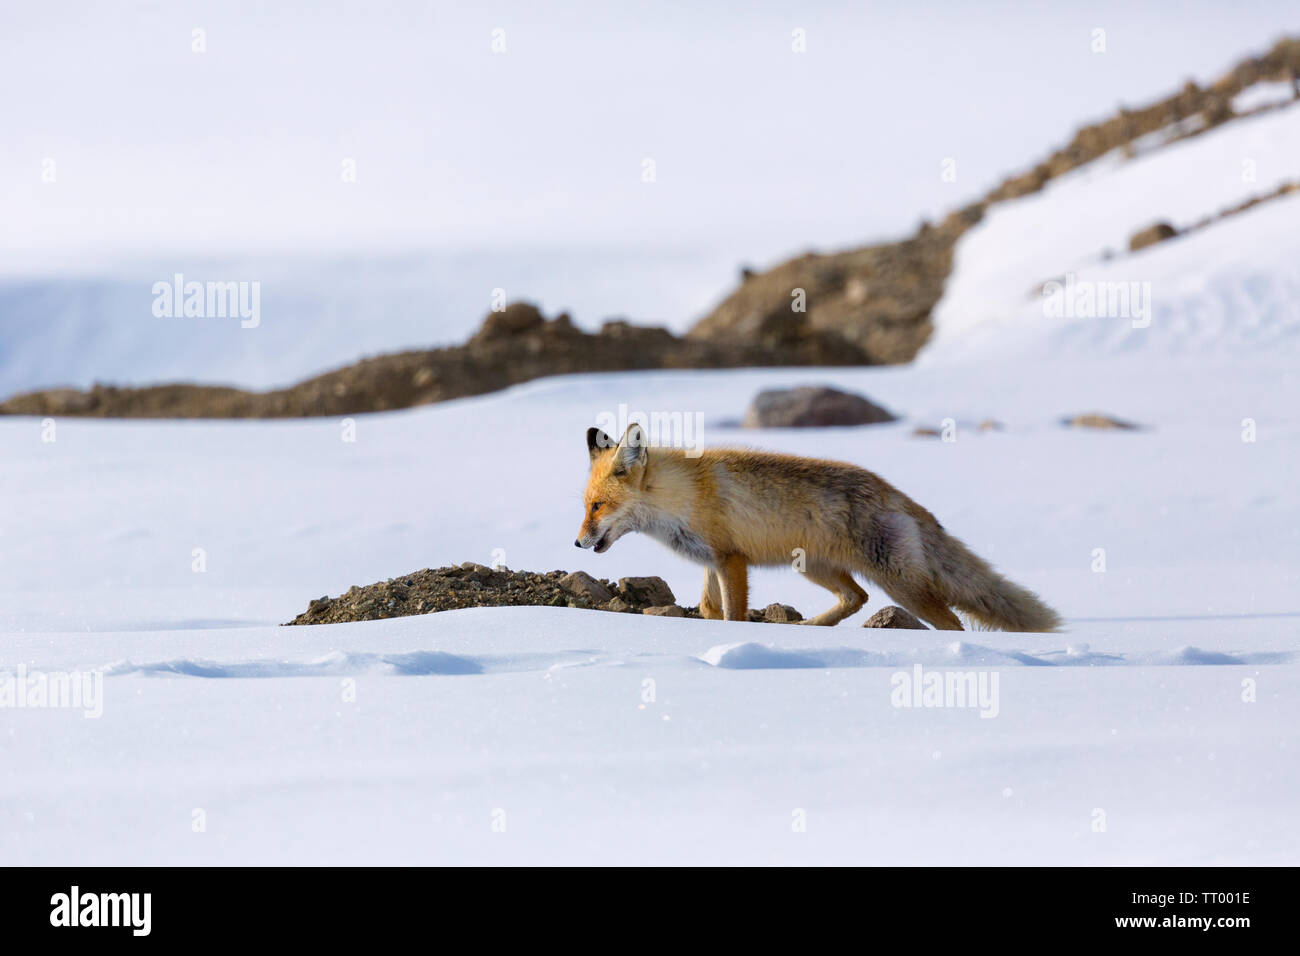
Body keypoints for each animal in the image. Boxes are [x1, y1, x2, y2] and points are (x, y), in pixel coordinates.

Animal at [574, 423, 1061, 631]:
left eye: (598, 506)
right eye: (585, 506)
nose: (577, 542)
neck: (684, 495)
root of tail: (896, 494)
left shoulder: (733, 560)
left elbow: (733, 614)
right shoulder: (711, 561)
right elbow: (712, 610)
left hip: (901, 583)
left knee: (951, 623)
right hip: (813, 568)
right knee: (857, 597)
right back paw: (812, 627)